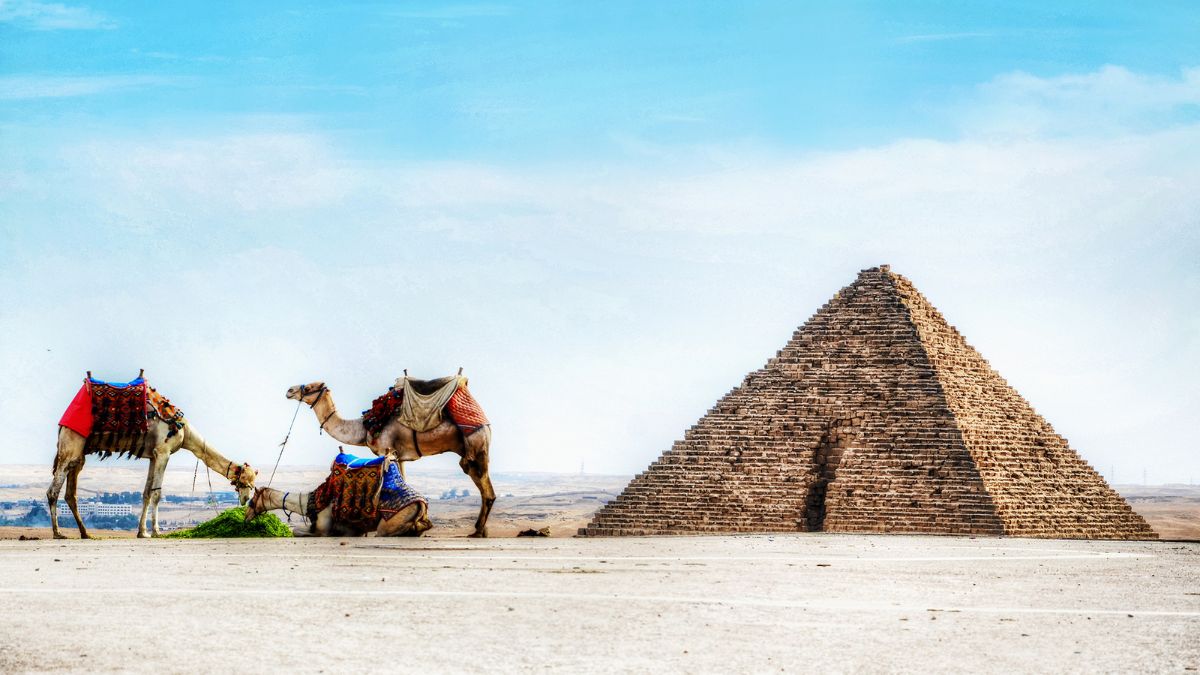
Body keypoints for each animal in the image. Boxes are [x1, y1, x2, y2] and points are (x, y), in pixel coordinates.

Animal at [49, 423, 257, 539]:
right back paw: (58, 533)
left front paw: (142, 532)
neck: (185, 433)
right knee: (53, 491)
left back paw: (85, 533)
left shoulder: (152, 456)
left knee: (71, 494)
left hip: (79, 454)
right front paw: (156, 531)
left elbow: (146, 493)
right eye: (246, 481)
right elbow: (157, 493)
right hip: (71, 446)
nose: (245, 499)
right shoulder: (163, 452)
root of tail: (60, 427)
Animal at [244, 485, 432, 537]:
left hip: (388, 524)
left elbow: (297, 531)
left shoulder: (323, 529)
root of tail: (422, 502)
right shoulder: (352, 530)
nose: (245, 517)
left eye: (252, 502)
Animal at [286, 381, 495, 537]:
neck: (364, 428)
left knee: (487, 490)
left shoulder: (385, 449)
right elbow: (402, 478)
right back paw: (481, 530)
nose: (290, 390)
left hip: (476, 446)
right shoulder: (398, 454)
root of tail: (486, 423)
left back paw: (478, 532)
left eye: (310, 387)